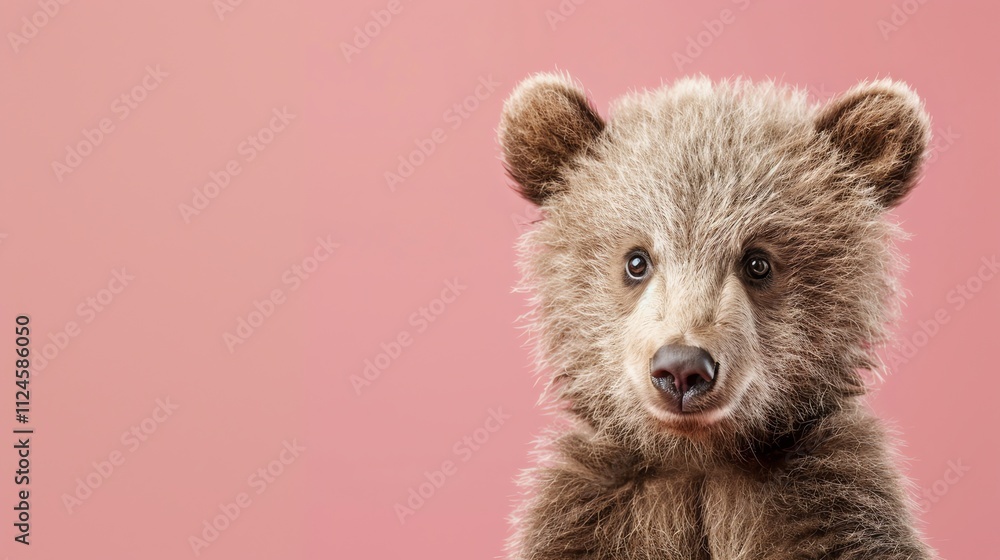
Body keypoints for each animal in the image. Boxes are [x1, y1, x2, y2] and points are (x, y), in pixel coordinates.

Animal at [497, 72, 935, 559]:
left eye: (757, 262)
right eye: (636, 261)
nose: (682, 368)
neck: (700, 460)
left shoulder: (830, 507)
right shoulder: (596, 515)